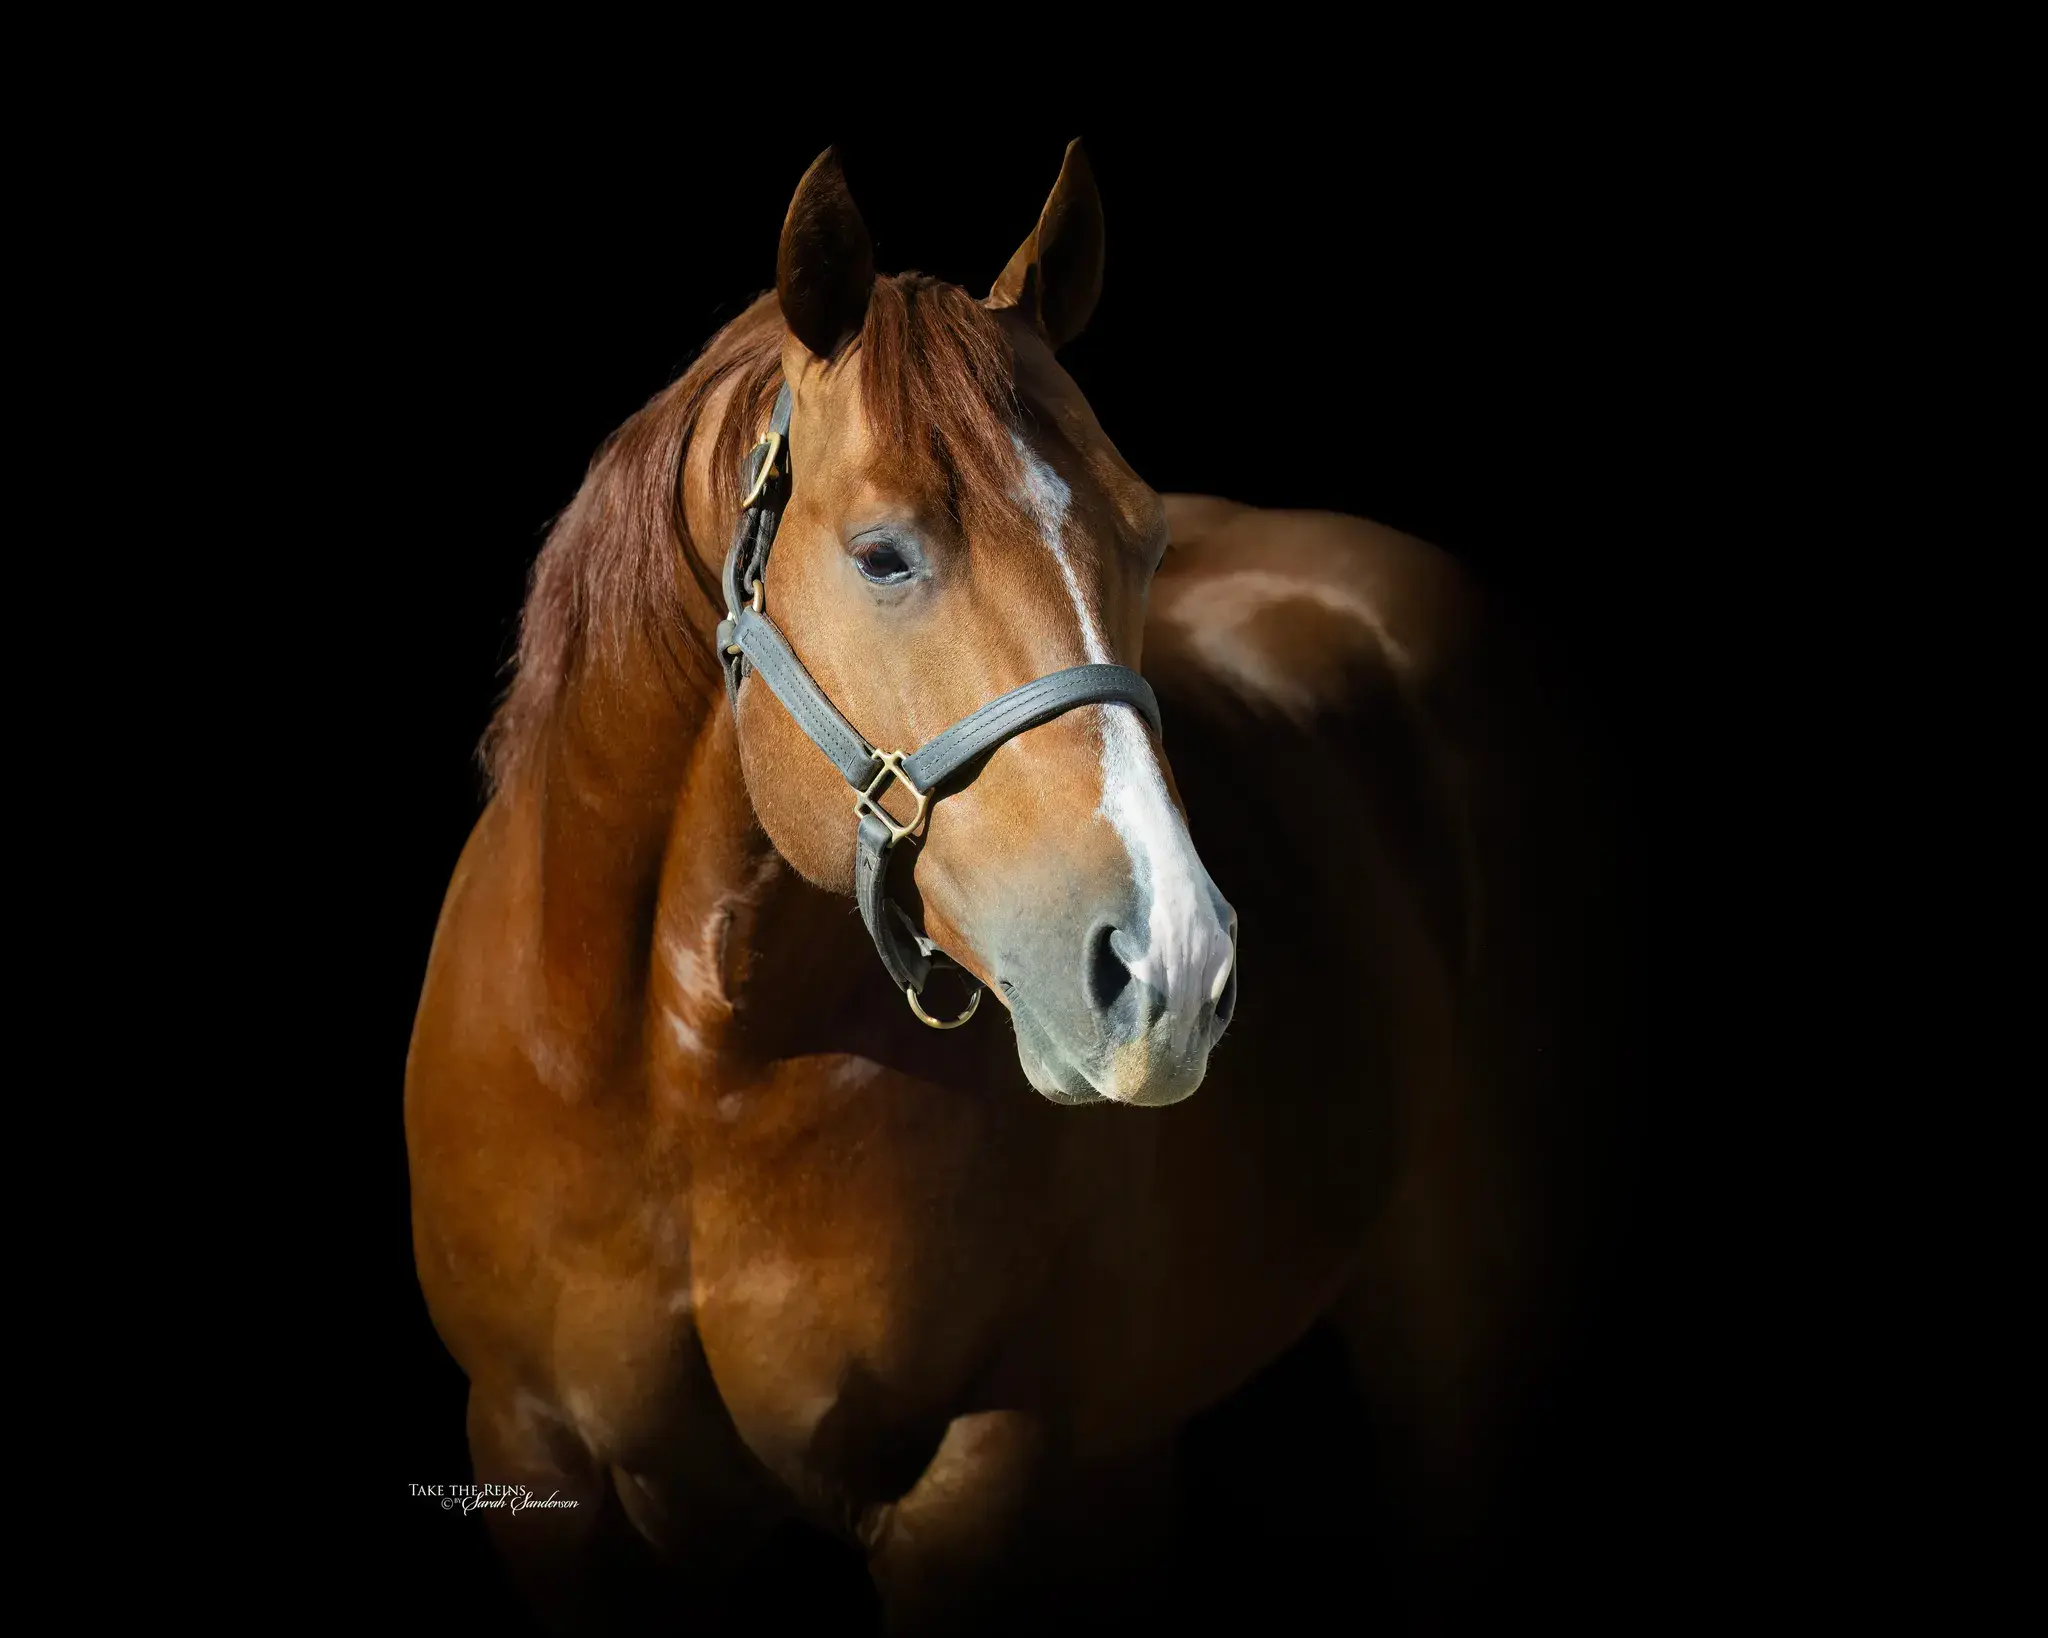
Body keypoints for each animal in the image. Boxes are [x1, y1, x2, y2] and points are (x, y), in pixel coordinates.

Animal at [406, 142, 1613, 1633]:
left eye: (1146, 542)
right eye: (882, 554)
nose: (1172, 967)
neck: (679, 1073)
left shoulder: (976, 1481)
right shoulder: (540, 1462)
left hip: (1461, 1336)